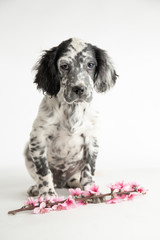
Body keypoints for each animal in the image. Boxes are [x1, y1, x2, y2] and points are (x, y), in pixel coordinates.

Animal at [24, 38, 117, 197]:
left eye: (90, 65)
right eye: (64, 66)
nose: (79, 89)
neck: (73, 109)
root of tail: (62, 182)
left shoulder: (91, 139)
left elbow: (88, 169)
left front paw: (91, 191)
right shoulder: (38, 136)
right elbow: (43, 170)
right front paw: (47, 194)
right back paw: (36, 188)